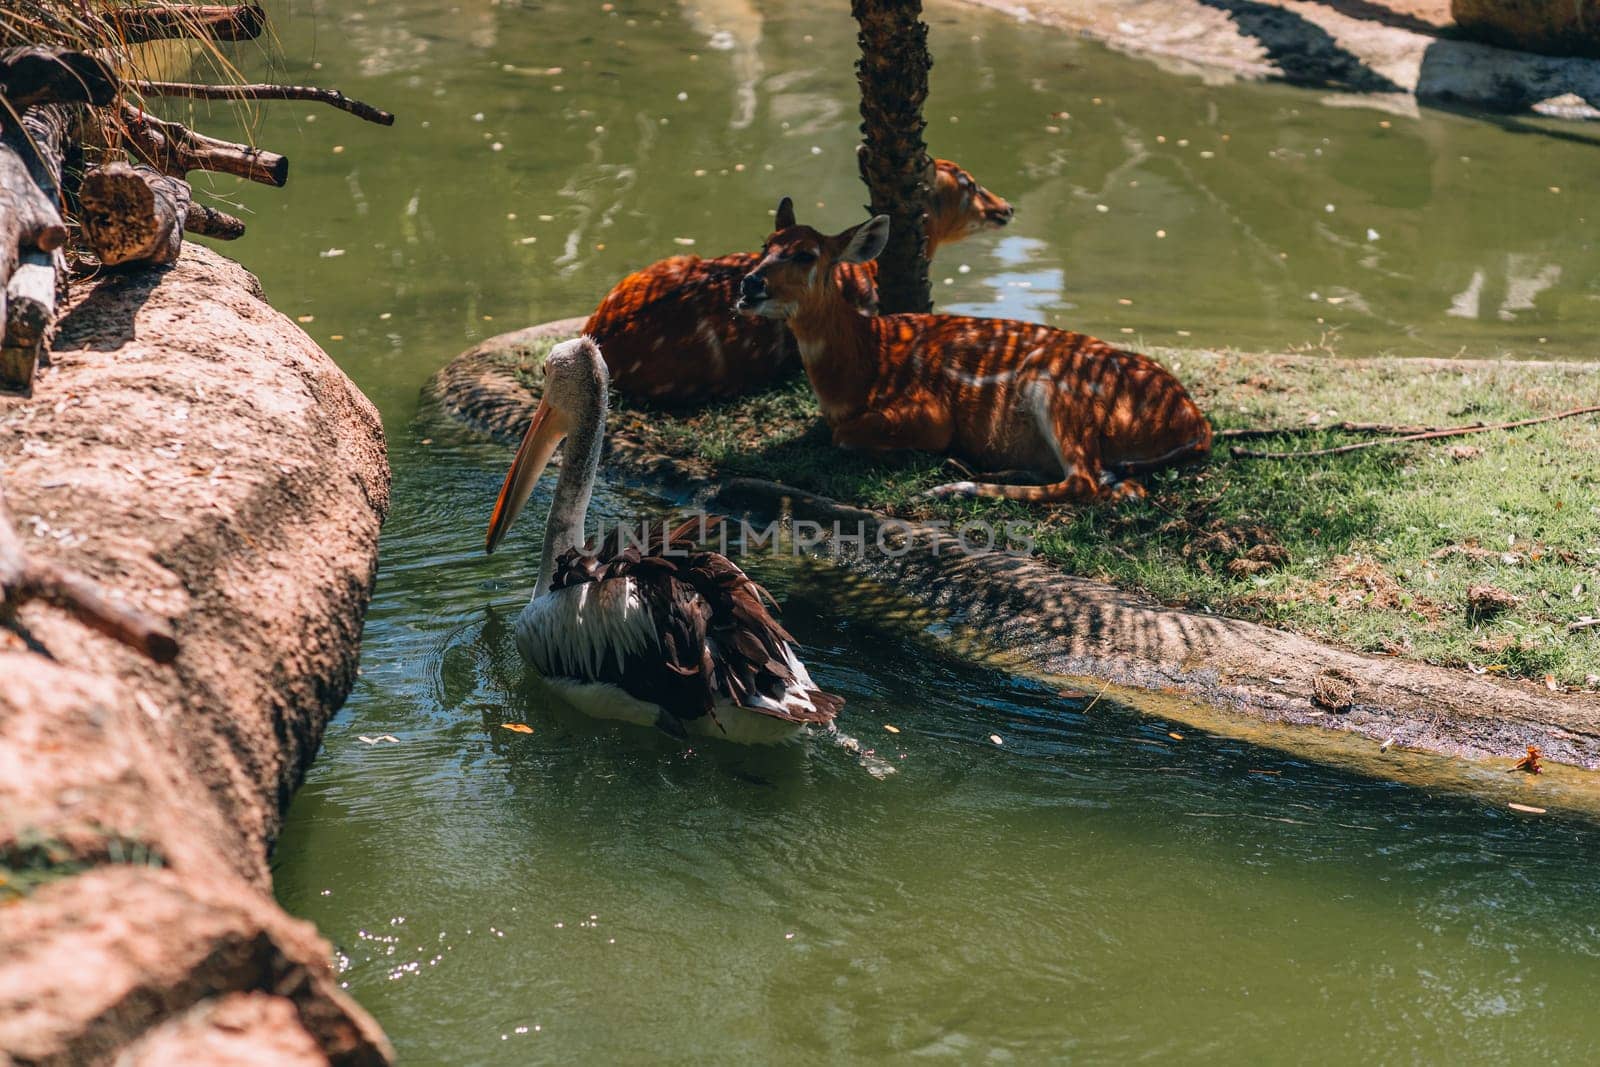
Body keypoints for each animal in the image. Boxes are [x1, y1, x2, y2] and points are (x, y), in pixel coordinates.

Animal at [736, 201, 1209, 505]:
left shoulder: (930, 414)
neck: (863, 367)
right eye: (765, 244)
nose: (750, 283)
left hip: (1058, 384)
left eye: (805, 254)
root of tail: (1194, 423)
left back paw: (952, 486)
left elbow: (844, 436)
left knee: (1084, 482)